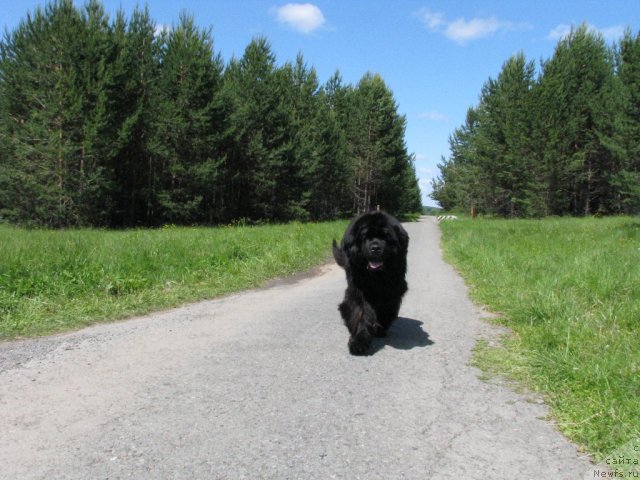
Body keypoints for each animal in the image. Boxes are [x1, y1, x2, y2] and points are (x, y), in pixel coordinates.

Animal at [332, 212, 408, 354]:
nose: (375, 248)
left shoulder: (393, 288)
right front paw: (359, 341)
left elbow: (386, 308)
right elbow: (362, 313)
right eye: (365, 237)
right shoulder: (359, 290)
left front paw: (380, 328)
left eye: (385, 237)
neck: (376, 276)